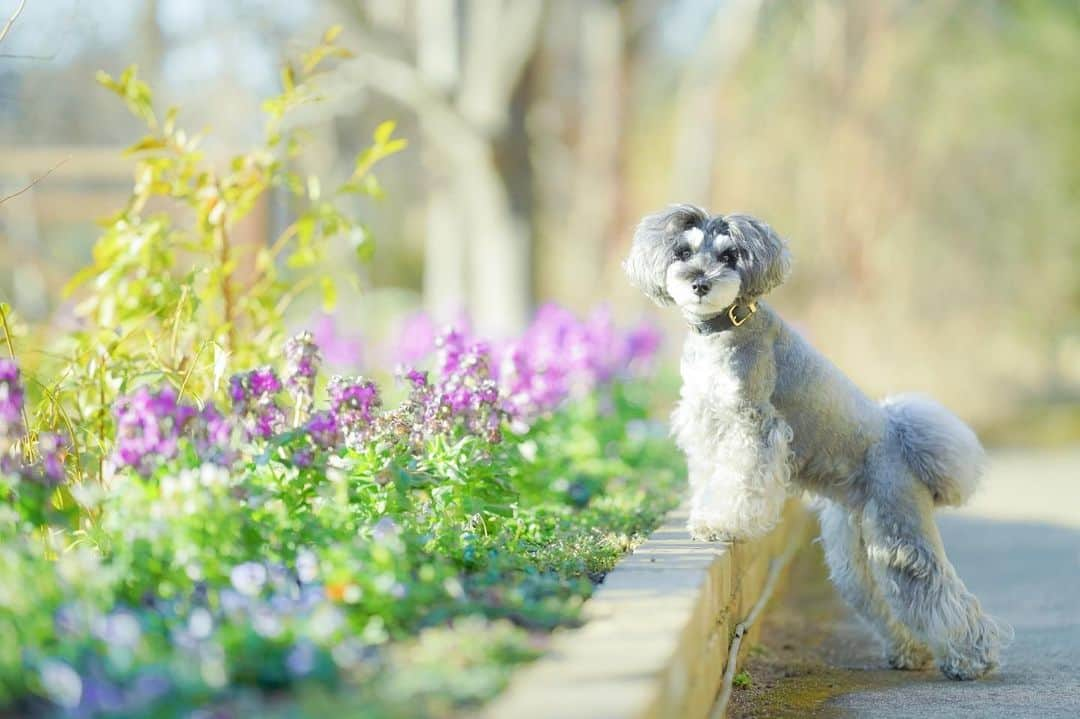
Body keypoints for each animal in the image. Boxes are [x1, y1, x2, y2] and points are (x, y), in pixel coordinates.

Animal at [626, 204, 1002, 682]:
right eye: (684, 251)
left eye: (729, 256)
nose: (699, 282)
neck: (726, 327)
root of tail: (902, 443)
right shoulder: (705, 423)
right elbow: (710, 476)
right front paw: (704, 516)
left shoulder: (754, 424)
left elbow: (740, 481)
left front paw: (724, 523)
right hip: (853, 553)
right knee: (882, 600)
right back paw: (908, 651)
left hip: (901, 536)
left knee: (941, 593)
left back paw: (971, 660)